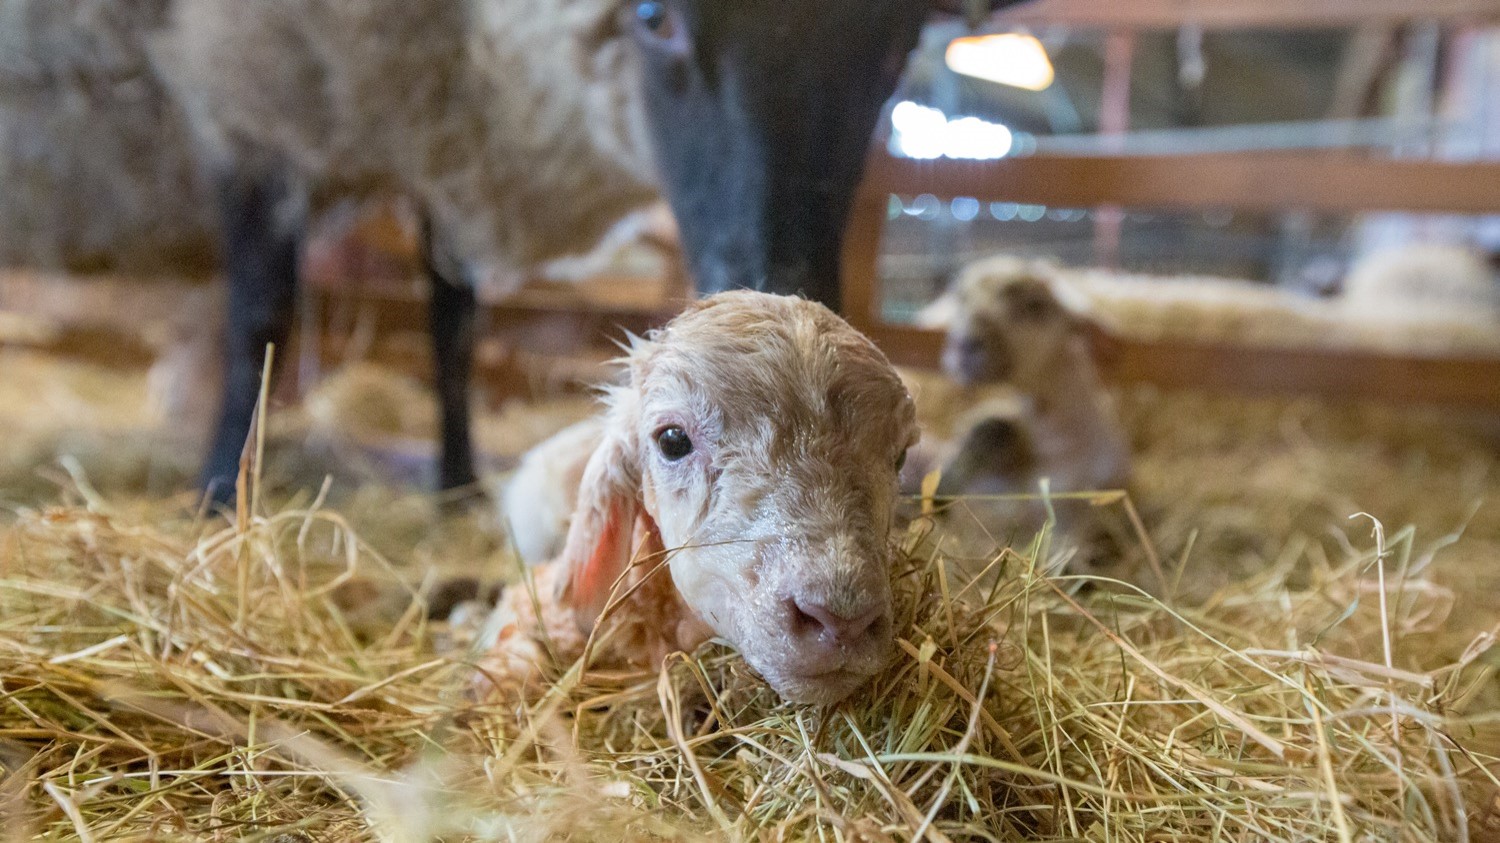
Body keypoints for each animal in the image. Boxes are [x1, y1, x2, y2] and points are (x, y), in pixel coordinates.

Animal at [0, 0, 1032, 498]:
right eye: (653, 15)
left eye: (902, 39)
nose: (783, 282)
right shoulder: (248, 89)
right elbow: (262, 313)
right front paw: (222, 492)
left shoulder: (434, 125)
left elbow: (454, 324)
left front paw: (456, 484)